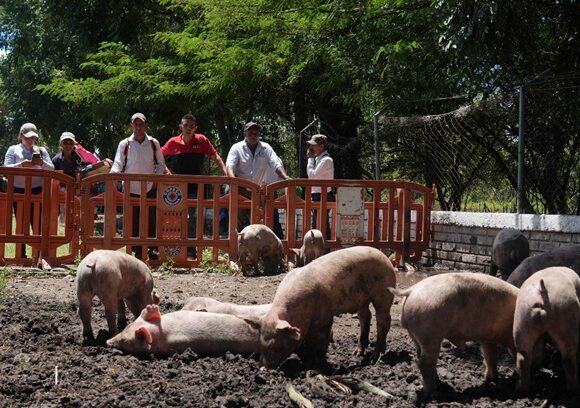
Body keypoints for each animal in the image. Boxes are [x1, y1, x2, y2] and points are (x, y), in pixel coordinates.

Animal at [243, 246, 396, 368]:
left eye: (279, 345)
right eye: (260, 343)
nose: (263, 368)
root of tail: (385, 257)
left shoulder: (325, 316)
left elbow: (322, 339)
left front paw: (320, 364)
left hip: (384, 292)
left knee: (383, 320)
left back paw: (374, 357)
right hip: (361, 299)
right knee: (365, 317)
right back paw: (356, 353)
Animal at [388, 272, 519, 393]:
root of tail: (411, 290)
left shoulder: (488, 337)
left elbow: (490, 355)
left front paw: (492, 379)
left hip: (415, 334)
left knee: (419, 355)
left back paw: (439, 384)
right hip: (430, 333)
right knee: (424, 362)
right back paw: (432, 391)